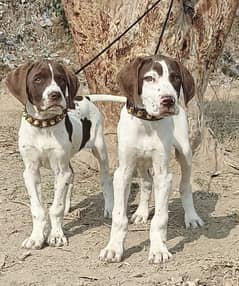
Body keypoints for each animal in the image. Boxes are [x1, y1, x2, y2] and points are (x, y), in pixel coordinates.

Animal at [4, 61, 114, 249]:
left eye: (61, 79)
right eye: (38, 79)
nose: (55, 95)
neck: (43, 125)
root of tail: (83, 98)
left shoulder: (60, 171)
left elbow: (56, 208)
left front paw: (56, 235)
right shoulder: (31, 172)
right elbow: (37, 209)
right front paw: (36, 237)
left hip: (99, 149)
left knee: (105, 179)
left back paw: (108, 208)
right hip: (66, 162)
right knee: (71, 175)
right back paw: (69, 206)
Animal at [99, 55, 204, 264]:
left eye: (175, 78)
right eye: (149, 78)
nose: (169, 101)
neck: (147, 122)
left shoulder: (164, 175)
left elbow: (160, 219)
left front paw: (158, 249)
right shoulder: (123, 172)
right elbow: (118, 217)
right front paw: (113, 248)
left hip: (185, 154)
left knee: (185, 186)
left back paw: (191, 217)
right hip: (140, 161)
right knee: (147, 183)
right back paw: (141, 212)